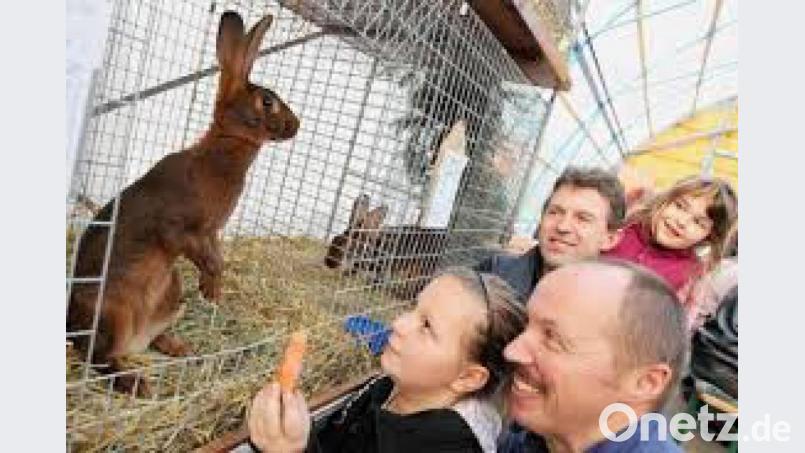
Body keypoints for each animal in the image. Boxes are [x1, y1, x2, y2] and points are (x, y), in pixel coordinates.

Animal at [67, 11, 299, 397]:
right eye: (267, 101)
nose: (296, 126)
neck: (225, 147)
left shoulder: (210, 234)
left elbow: (218, 260)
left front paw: (212, 292)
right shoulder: (179, 229)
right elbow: (205, 257)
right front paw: (211, 289)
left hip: (170, 289)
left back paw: (179, 348)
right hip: (113, 311)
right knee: (96, 356)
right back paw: (136, 383)